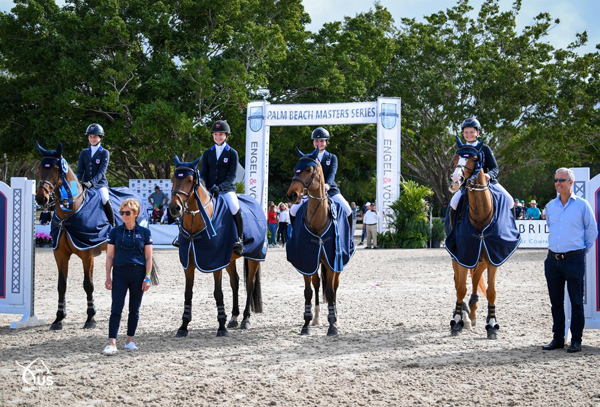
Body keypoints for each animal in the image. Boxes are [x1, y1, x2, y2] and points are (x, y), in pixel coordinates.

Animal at [169, 156, 262, 338]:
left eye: (189, 180)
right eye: (173, 179)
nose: (174, 208)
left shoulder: (215, 262)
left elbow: (218, 293)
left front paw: (221, 327)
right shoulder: (189, 264)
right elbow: (188, 293)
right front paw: (183, 326)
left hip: (254, 257)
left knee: (249, 284)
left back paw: (245, 319)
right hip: (230, 259)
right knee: (235, 282)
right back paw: (233, 318)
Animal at [284, 148, 352, 336]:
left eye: (309, 169)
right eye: (295, 169)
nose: (292, 195)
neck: (318, 220)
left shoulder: (331, 261)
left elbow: (330, 290)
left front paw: (332, 326)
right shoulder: (307, 261)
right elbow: (308, 291)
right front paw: (306, 324)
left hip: (335, 263)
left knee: (334, 287)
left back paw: (335, 318)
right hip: (316, 262)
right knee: (317, 285)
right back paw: (316, 318)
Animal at [448, 139, 500, 340]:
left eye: (475, 159)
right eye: (455, 158)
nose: (455, 180)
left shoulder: (493, 256)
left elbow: (491, 292)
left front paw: (492, 325)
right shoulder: (462, 254)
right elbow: (460, 288)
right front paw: (457, 321)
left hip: (482, 257)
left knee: (477, 276)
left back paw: (473, 307)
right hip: (458, 257)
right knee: (458, 282)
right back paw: (464, 313)